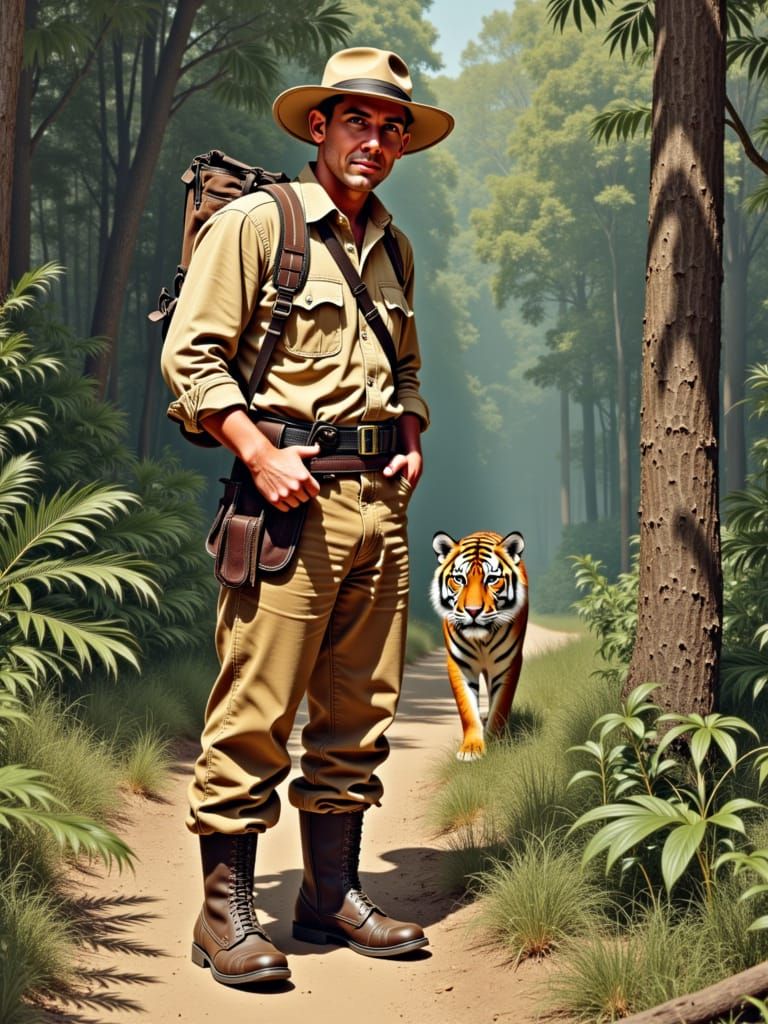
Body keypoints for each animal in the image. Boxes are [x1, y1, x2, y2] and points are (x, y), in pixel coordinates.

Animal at [430, 530, 529, 762]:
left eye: (491, 579)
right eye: (459, 579)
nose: (473, 611)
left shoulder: (508, 663)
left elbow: (500, 706)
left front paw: (496, 743)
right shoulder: (459, 665)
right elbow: (467, 709)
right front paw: (472, 749)